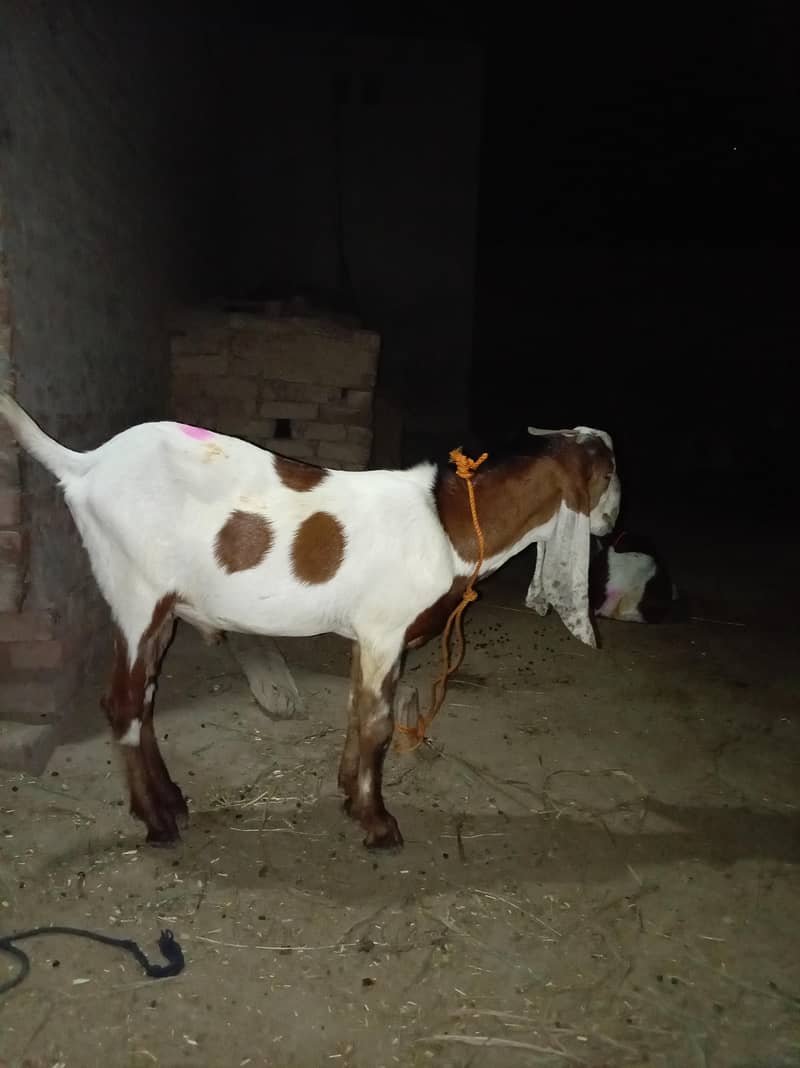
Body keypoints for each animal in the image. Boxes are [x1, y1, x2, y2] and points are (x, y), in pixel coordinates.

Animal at [0, 395, 620, 849]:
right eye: (611, 474)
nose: (611, 523)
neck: (451, 525)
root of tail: (86, 465)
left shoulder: (368, 634)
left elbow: (355, 710)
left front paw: (349, 794)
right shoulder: (386, 629)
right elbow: (378, 724)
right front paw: (378, 824)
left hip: (158, 608)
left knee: (145, 698)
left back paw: (171, 800)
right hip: (135, 592)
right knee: (124, 703)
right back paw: (158, 823)